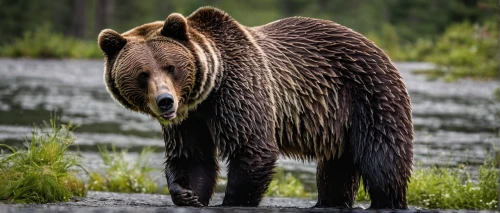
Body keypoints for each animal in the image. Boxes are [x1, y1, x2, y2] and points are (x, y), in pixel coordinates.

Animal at [97, 7, 414, 210]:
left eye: (170, 67)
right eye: (142, 74)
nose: (166, 101)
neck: (209, 89)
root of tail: (376, 45)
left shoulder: (239, 89)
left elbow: (251, 147)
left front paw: (229, 201)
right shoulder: (190, 119)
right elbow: (192, 156)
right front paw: (187, 194)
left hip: (369, 95)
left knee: (382, 158)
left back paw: (387, 202)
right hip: (338, 121)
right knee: (337, 165)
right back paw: (327, 203)